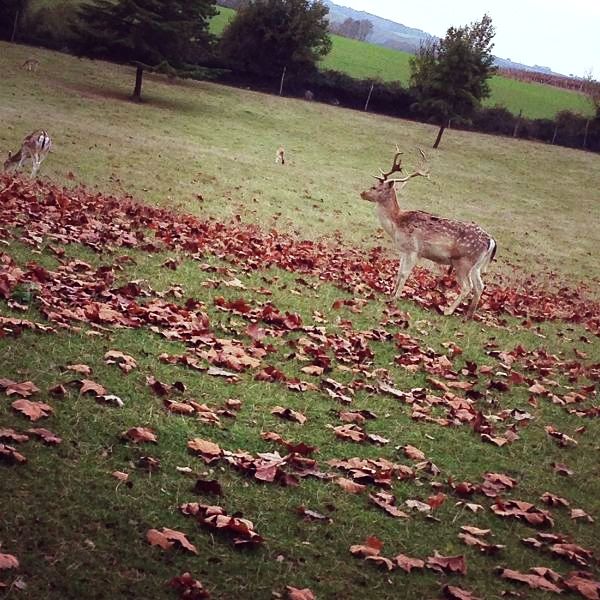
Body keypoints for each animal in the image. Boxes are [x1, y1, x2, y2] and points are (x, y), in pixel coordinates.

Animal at [360, 147, 496, 318]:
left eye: (375, 187)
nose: (362, 193)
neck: (397, 224)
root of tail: (491, 241)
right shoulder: (403, 250)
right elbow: (399, 272)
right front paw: (391, 294)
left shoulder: (414, 249)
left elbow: (405, 273)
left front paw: (395, 298)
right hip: (476, 266)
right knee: (480, 286)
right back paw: (468, 315)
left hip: (463, 261)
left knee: (467, 286)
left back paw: (448, 311)